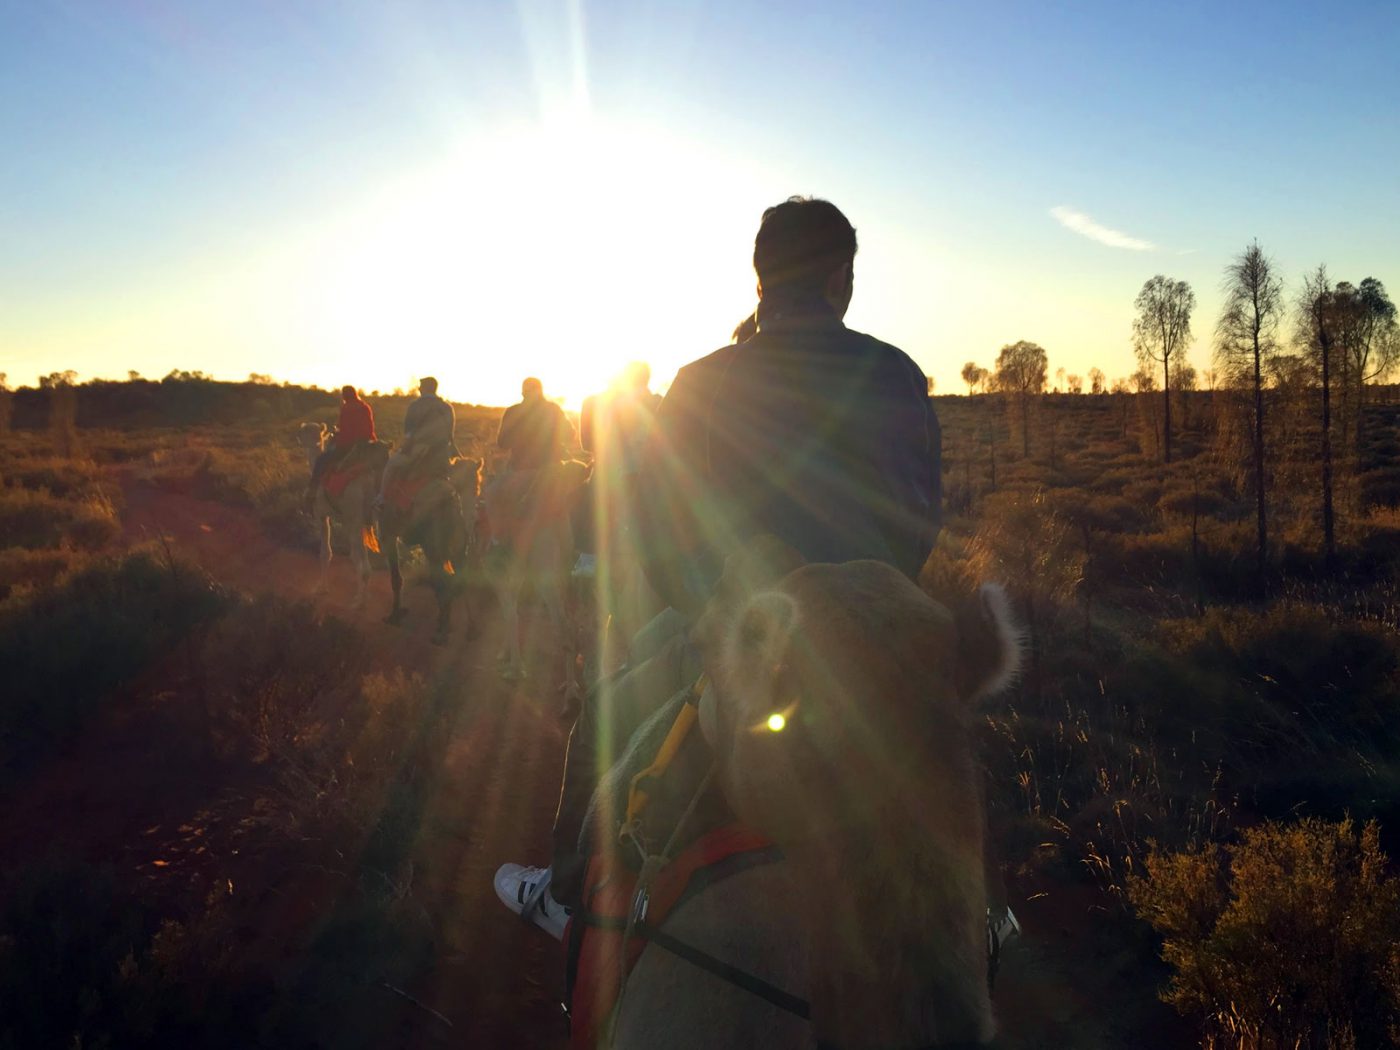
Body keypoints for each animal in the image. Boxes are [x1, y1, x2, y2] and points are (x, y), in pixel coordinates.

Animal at [292, 422, 386, 613]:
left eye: (305, 430)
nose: (298, 433)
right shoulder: (350, 521)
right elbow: (356, 556)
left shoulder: (322, 515)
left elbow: (325, 552)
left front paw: (321, 588)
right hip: (374, 516)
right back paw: (363, 598)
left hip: (354, 514)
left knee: (363, 565)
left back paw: (359, 602)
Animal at [378, 459, 481, 649]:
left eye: (477, 484)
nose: (472, 514)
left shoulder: (387, 535)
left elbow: (396, 579)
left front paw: (394, 616)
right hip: (455, 549)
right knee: (456, 582)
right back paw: (470, 629)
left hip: (434, 548)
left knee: (445, 584)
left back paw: (442, 634)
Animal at [481, 464, 590, 694]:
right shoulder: (513, 579)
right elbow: (510, 614)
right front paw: (508, 657)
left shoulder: (497, 577)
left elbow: (509, 615)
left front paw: (513, 666)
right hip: (564, 563)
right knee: (572, 617)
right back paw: (573, 682)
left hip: (543, 571)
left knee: (562, 625)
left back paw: (570, 689)